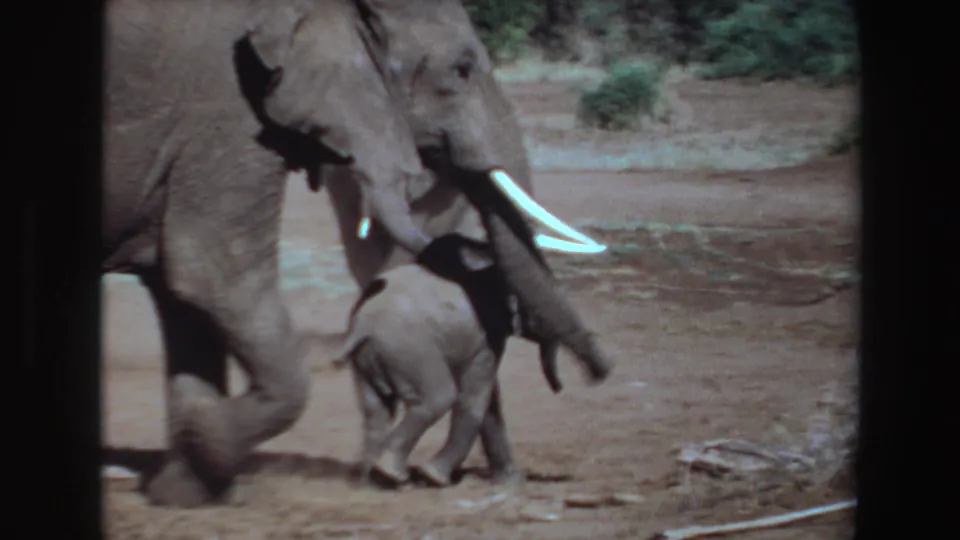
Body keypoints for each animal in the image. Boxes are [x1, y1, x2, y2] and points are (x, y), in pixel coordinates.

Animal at [330, 233, 584, 488]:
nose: (559, 387)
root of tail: (364, 325)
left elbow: (487, 400)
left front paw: (509, 481)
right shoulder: (487, 335)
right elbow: (475, 396)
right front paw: (435, 477)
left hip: (368, 356)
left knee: (375, 408)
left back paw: (370, 480)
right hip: (410, 350)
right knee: (437, 397)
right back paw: (394, 475)